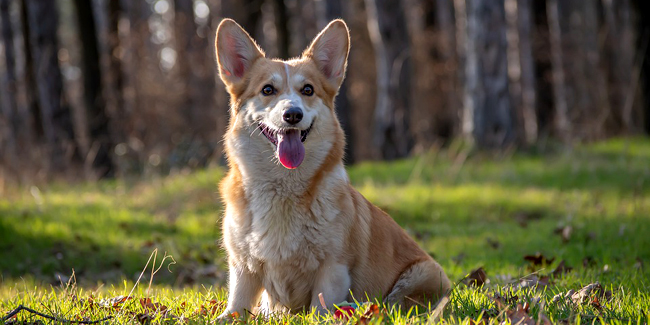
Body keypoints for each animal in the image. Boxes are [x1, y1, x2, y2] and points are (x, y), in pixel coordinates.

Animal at [215, 18, 448, 316]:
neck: (282, 187)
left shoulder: (333, 268)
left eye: (308, 90)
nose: (293, 115)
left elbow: (320, 309)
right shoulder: (243, 268)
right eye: (267, 89)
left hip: (420, 274)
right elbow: (236, 306)